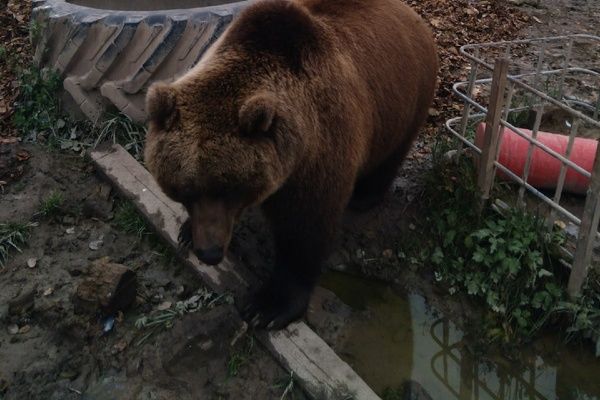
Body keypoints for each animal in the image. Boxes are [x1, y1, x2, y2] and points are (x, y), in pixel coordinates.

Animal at [144, 0, 438, 330]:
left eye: (229, 189)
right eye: (183, 190)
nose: (209, 253)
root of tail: (411, 15)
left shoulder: (321, 149)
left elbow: (304, 231)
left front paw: (267, 306)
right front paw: (186, 230)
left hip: (403, 103)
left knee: (389, 157)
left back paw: (364, 197)